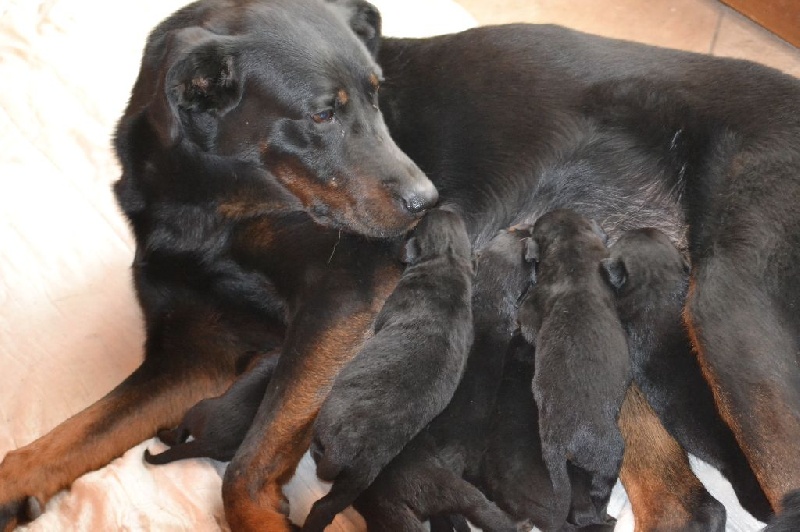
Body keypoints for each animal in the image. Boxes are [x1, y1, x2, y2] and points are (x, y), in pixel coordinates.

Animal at [352, 229, 532, 532]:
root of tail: (388, 499)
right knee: (477, 508)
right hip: (449, 487)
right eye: (509, 234)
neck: (490, 295)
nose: (525, 231)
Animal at [520, 208, 632, 528]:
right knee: (601, 485)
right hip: (609, 450)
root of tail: (558, 443)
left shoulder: (533, 308)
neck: (567, 242)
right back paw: (603, 512)